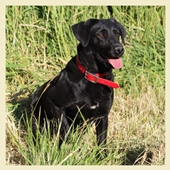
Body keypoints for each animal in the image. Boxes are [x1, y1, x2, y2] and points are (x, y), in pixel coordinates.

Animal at [30, 17, 126, 149]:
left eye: (117, 34)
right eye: (100, 34)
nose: (119, 49)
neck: (93, 77)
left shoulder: (103, 115)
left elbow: (102, 141)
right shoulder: (55, 105)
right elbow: (66, 131)